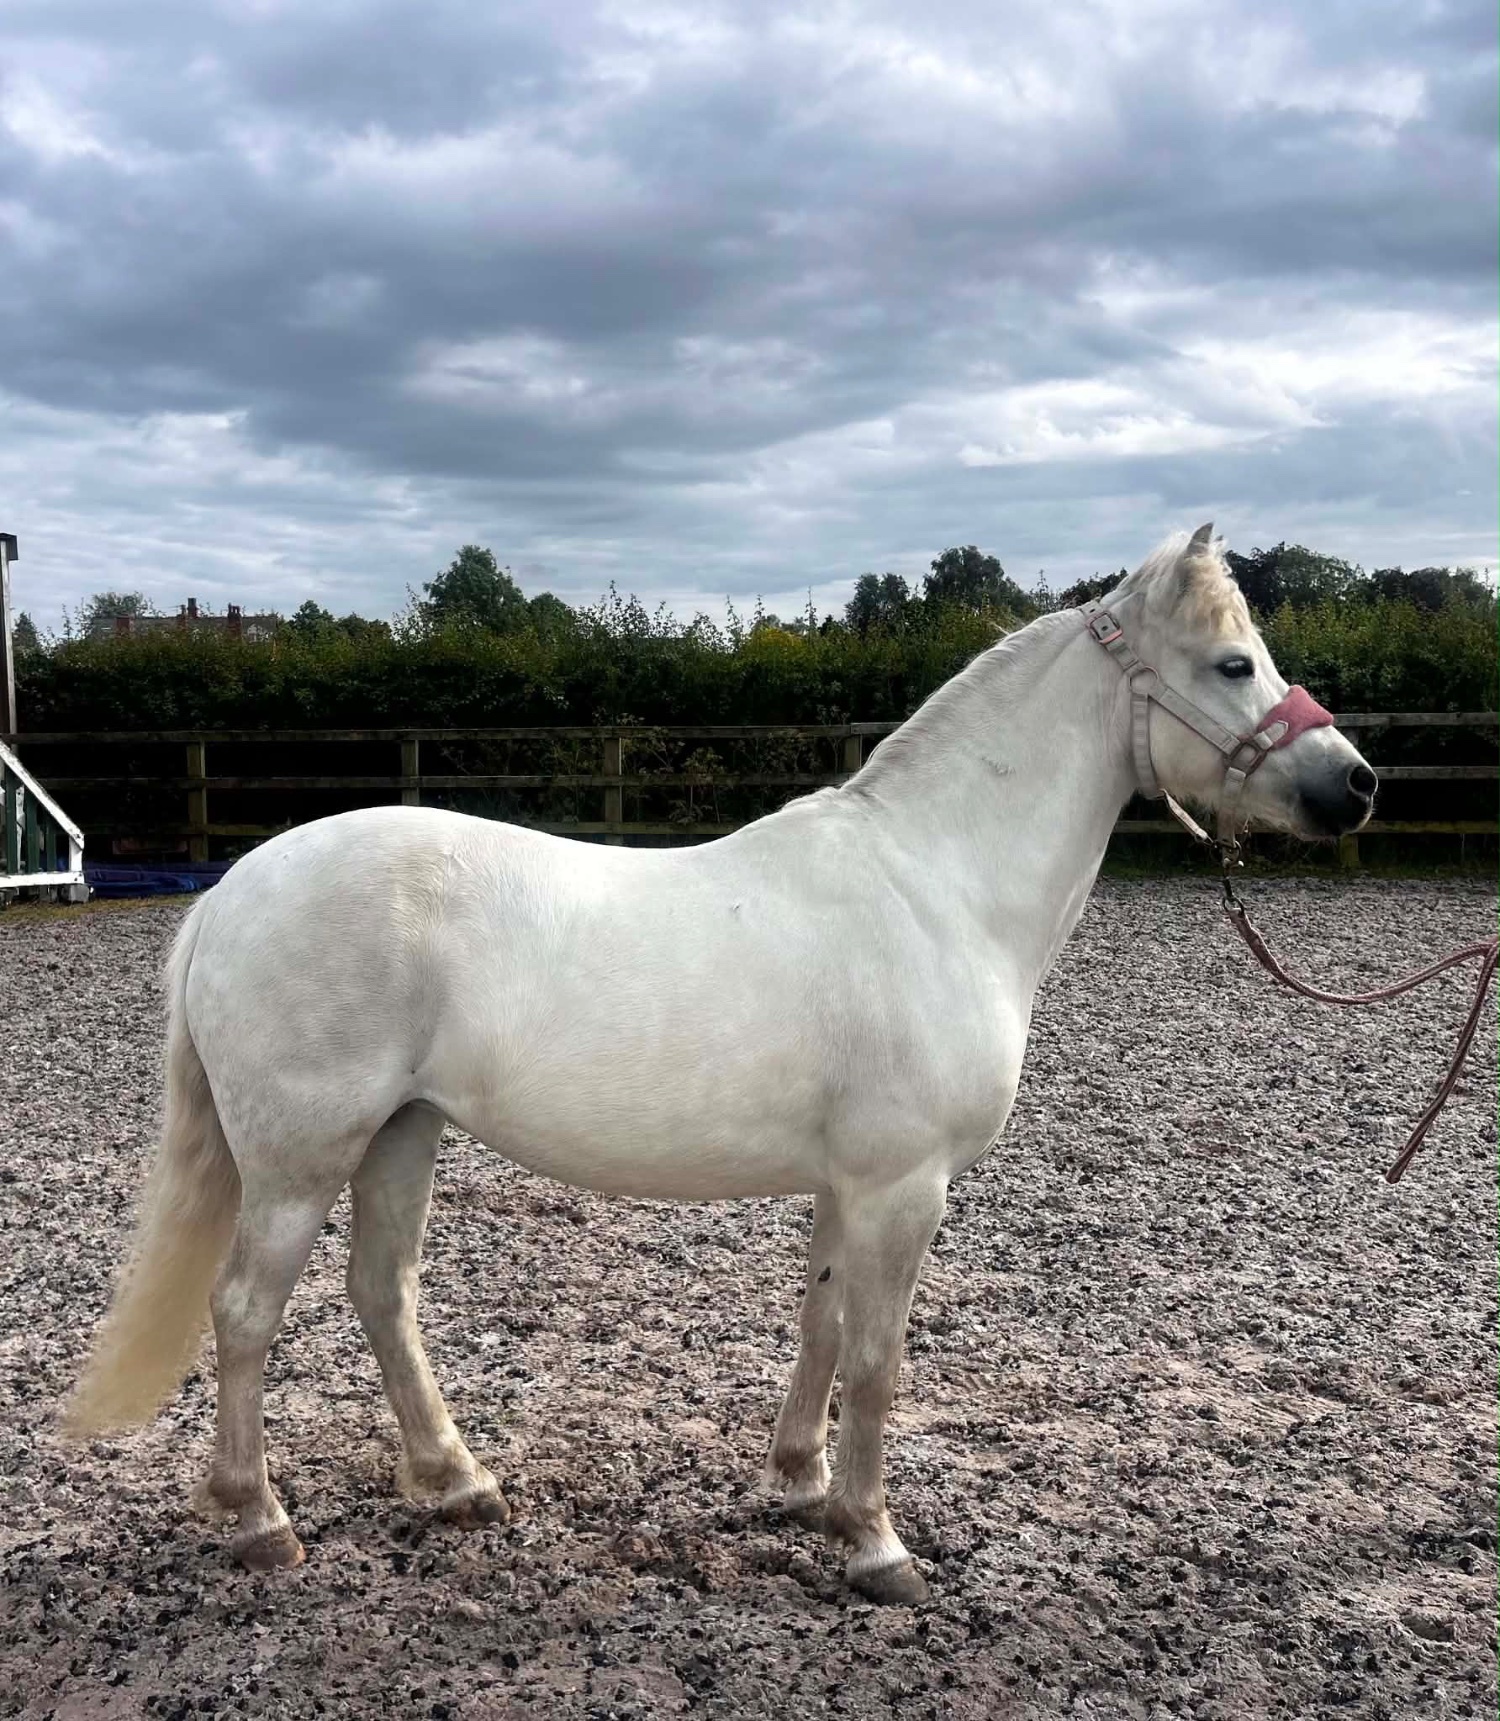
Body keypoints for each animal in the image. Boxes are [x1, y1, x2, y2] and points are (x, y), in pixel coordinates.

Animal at [64, 525, 1375, 1604]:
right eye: (1233, 664)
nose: (1354, 785)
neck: (938, 884)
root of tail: (232, 889)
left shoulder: (853, 1183)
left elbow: (821, 1324)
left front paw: (800, 1485)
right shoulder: (906, 1185)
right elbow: (879, 1358)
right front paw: (876, 1543)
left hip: (403, 1131)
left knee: (382, 1293)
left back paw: (455, 1481)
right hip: (301, 1154)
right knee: (245, 1310)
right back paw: (260, 1521)